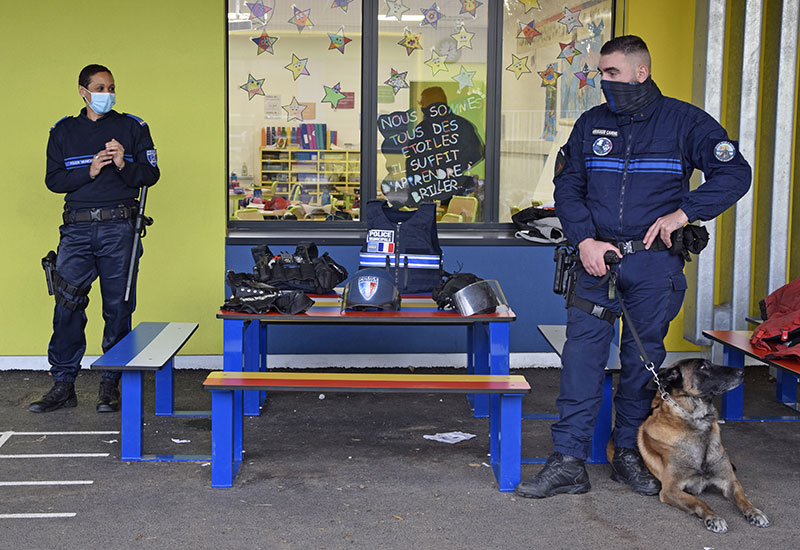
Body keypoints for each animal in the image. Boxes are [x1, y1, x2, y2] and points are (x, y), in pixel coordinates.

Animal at [636, 358, 768, 536]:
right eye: (703, 366)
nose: (742, 372)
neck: (698, 422)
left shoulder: (729, 481)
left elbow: (743, 499)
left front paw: (754, 512)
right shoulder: (670, 490)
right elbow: (698, 502)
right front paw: (714, 518)